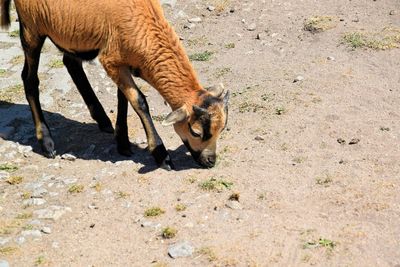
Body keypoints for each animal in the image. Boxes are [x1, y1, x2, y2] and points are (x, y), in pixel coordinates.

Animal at [0, 0, 228, 171]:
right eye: (196, 132)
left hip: (70, 32)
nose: (210, 162)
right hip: (31, 27)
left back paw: (102, 119)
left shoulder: (120, 61)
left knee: (71, 63)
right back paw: (46, 141)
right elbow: (139, 101)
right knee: (29, 78)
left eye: (222, 129)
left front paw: (123, 142)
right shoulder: (111, 59)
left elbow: (123, 98)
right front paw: (161, 155)